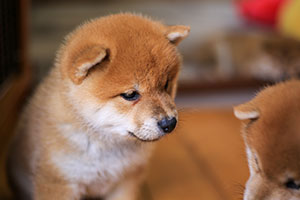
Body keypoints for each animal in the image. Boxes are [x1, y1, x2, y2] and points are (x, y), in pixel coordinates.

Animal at [7, 13, 190, 199]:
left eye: (166, 84)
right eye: (130, 94)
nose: (170, 123)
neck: (106, 146)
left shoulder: (126, 180)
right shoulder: (60, 182)